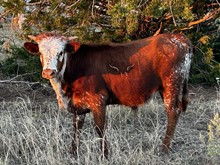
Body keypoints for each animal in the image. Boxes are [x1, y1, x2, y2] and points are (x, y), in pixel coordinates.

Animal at [23, 32, 192, 158]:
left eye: (61, 52)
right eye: (40, 52)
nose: (48, 72)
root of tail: (179, 38)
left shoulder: (98, 100)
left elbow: (99, 128)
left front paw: (105, 155)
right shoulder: (78, 105)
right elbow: (76, 128)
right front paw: (73, 152)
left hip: (171, 84)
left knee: (173, 112)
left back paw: (164, 149)